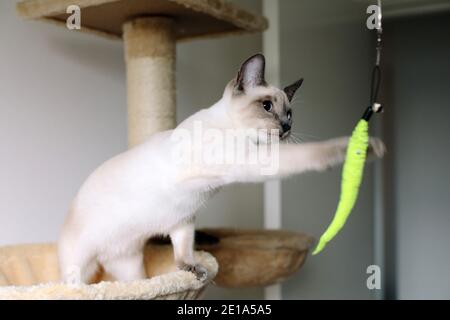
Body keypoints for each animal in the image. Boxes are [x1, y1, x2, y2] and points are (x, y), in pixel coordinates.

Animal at [58, 53, 384, 284]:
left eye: (290, 114)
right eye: (267, 107)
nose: (286, 128)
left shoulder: (183, 219)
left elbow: (183, 251)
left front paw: (193, 270)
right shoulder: (250, 162)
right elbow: (308, 154)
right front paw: (362, 147)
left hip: (129, 263)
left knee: (136, 281)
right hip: (80, 264)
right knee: (73, 284)